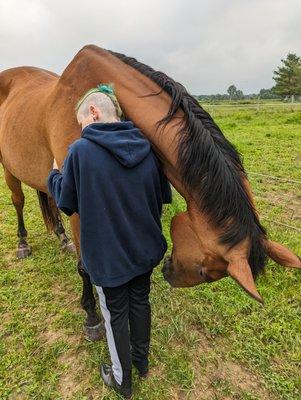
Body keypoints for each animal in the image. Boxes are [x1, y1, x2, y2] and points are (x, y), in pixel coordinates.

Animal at [0, 45, 298, 340]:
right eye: (203, 271)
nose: (168, 274)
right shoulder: (78, 207)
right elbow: (84, 267)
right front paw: (92, 317)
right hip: (9, 169)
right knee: (18, 201)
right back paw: (23, 243)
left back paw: (62, 239)